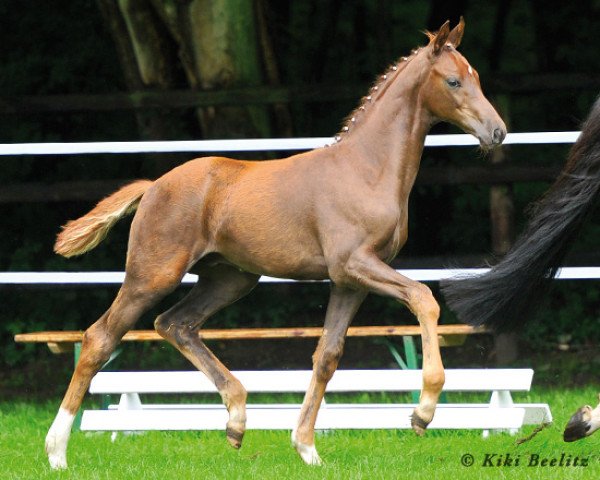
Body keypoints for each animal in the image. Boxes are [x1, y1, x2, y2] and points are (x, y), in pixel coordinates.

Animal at [48, 19, 506, 468]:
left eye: (477, 78)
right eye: (453, 81)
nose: (497, 131)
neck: (367, 168)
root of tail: (153, 186)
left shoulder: (349, 282)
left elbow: (327, 356)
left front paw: (306, 447)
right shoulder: (354, 264)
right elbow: (423, 298)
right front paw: (422, 412)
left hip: (230, 279)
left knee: (175, 324)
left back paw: (236, 421)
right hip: (153, 274)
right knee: (100, 338)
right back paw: (56, 452)